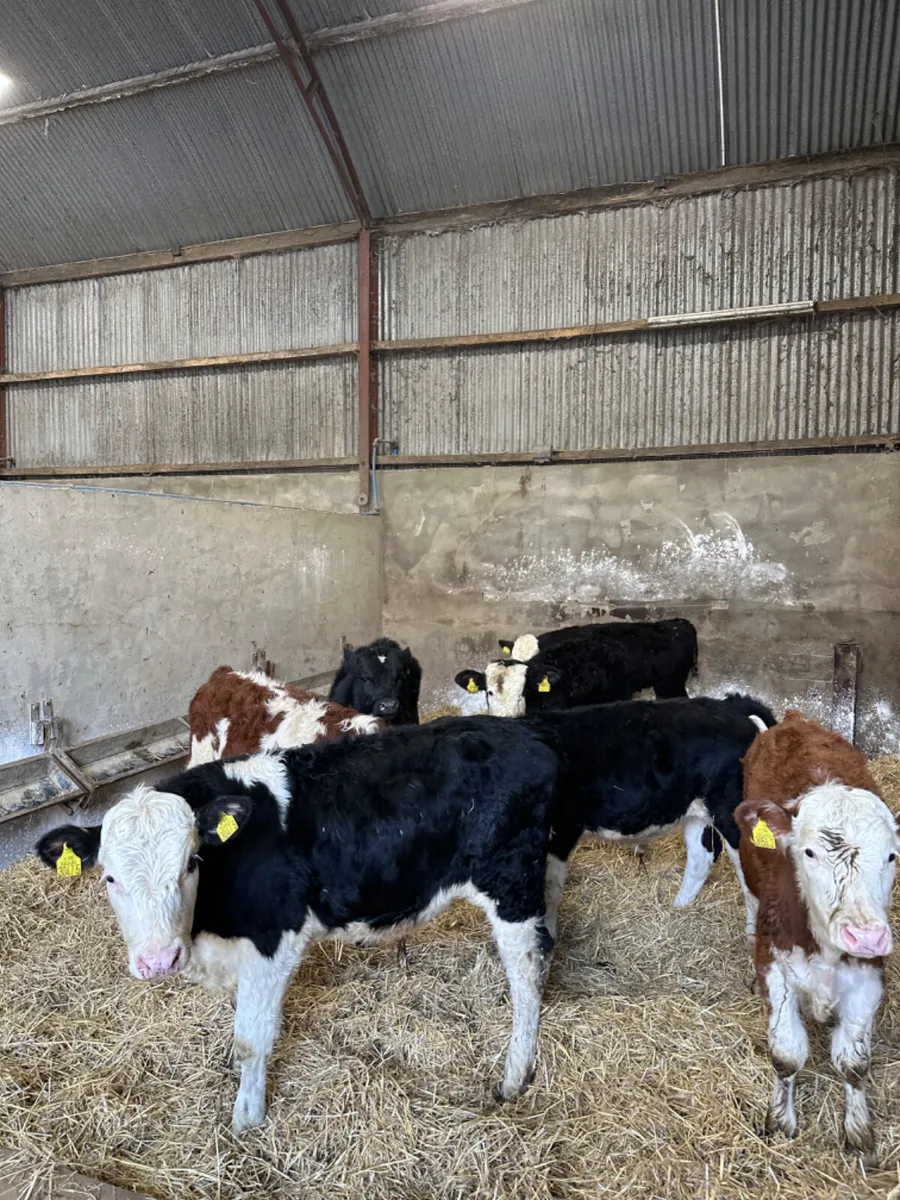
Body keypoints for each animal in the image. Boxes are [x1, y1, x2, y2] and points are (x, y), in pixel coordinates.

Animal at [35, 718, 558, 1134]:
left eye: (190, 863)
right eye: (109, 877)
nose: (159, 960)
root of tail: (523, 733)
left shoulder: (273, 944)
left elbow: (251, 1039)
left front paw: (247, 1119)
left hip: (510, 883)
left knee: (526, 977)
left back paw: (515, 1077)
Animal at [520, 694, 776, 937]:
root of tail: (729, 705)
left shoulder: (560, 829)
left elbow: (549, 889)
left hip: (732, 811)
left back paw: (752, 935)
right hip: (699, 810)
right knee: (702, 854)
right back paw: (679, 908)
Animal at [734, 709, 899, 1163]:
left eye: (892, 856)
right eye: (809, 852)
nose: (864, 936)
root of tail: (793, 720)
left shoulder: (868, 977)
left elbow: (854, 1063)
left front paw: (858, 1133)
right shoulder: (775, 969)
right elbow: (787, 1055)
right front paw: (780, 1121)